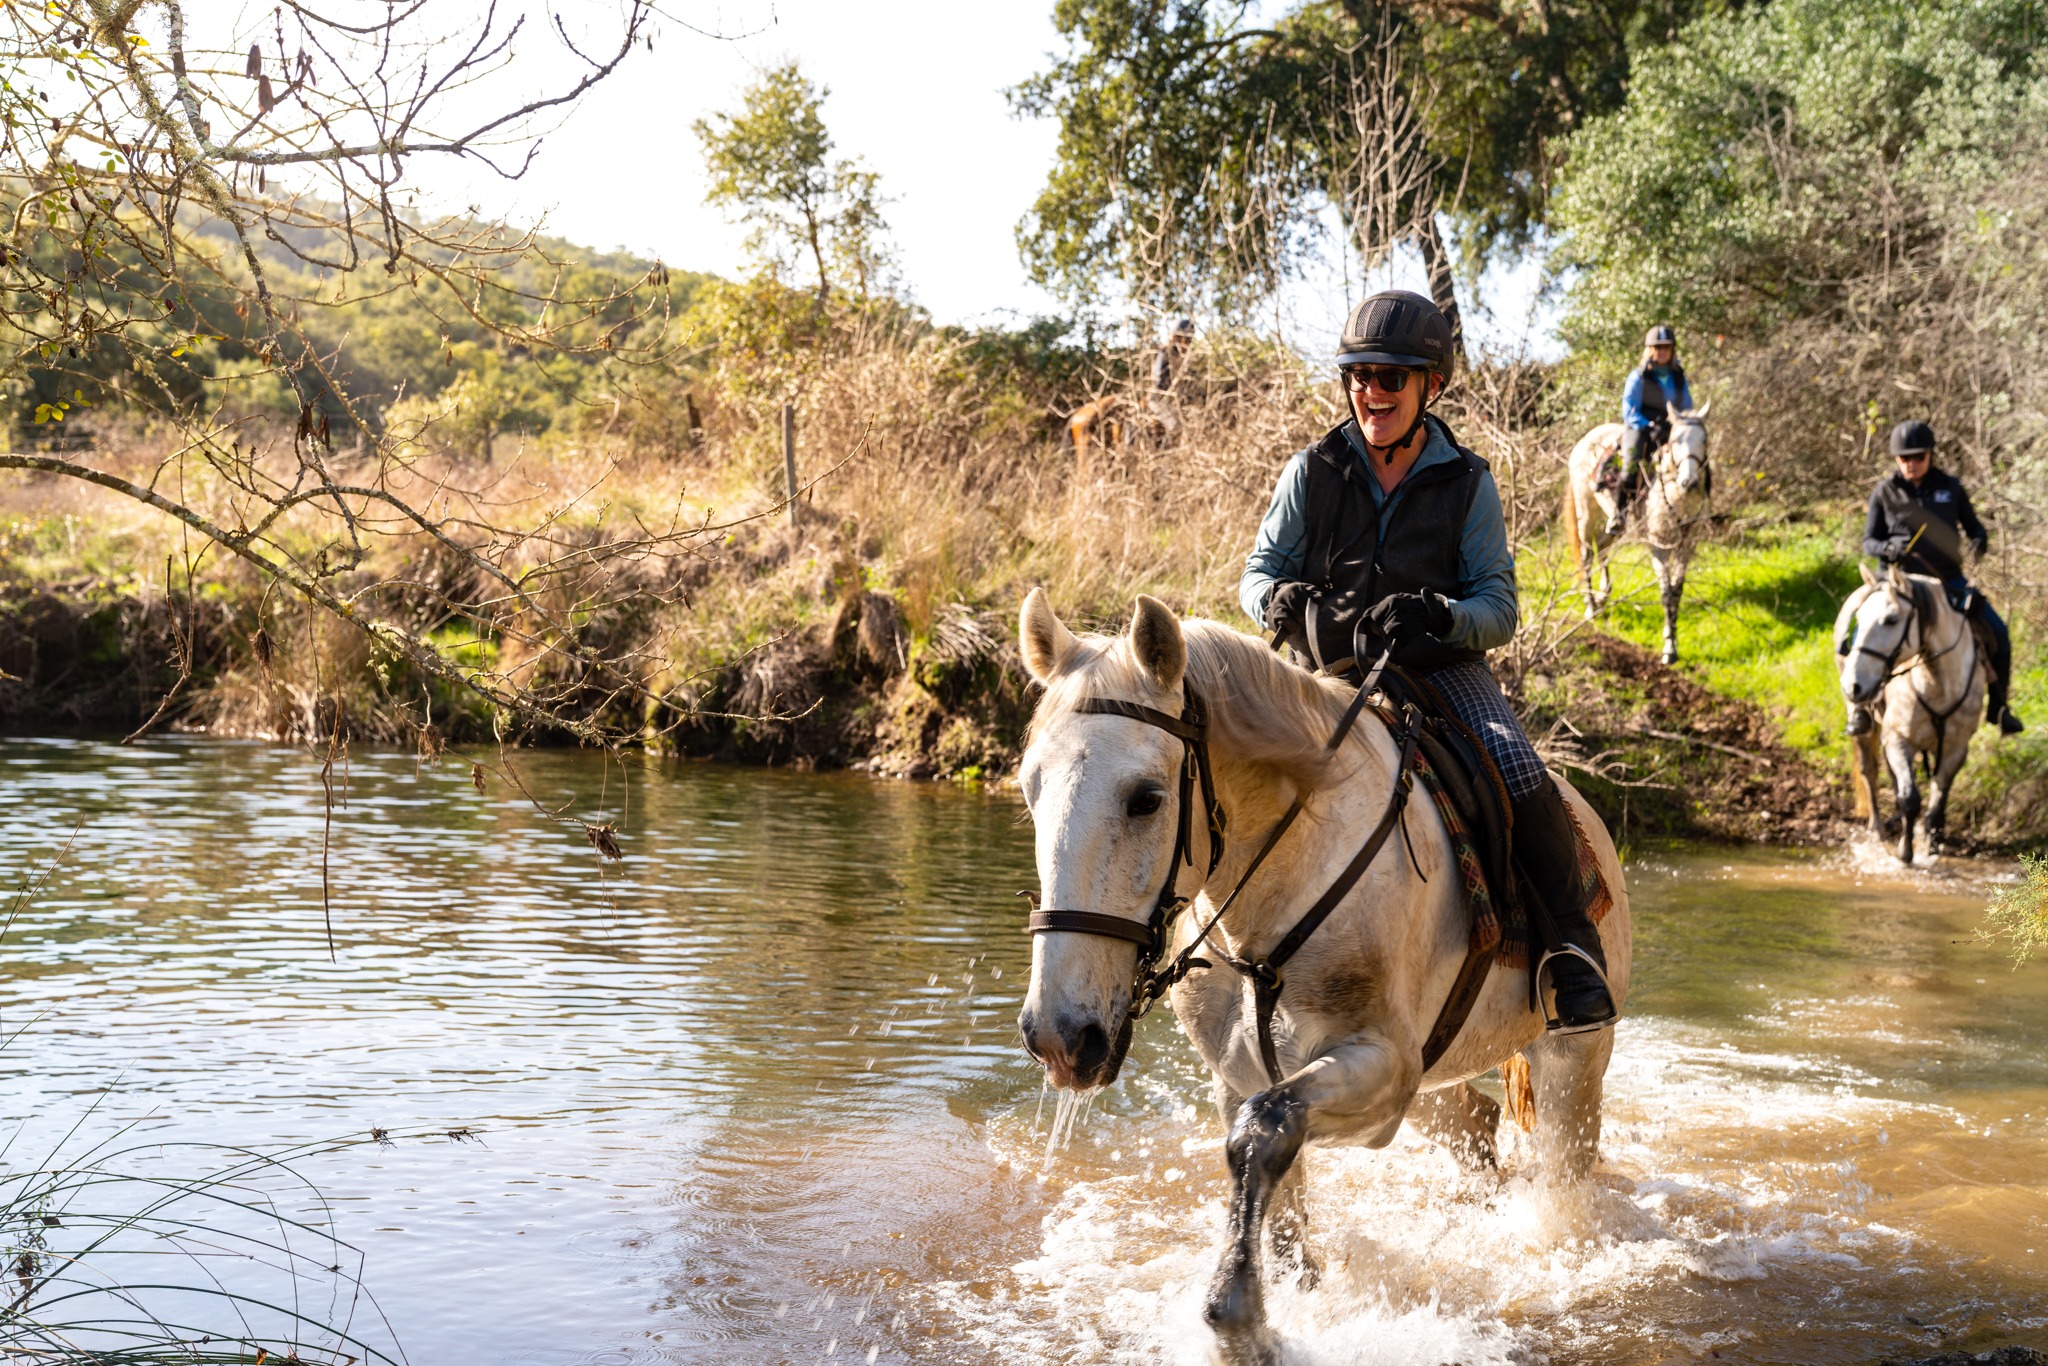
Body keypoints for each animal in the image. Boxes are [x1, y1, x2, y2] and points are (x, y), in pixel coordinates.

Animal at [1013, 590, 1633, 1366]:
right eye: (1030, 789)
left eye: (1146, 798)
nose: (1059, 1037)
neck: (1289, 873)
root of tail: (1590, 819)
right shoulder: (1248, 1073)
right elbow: (1266, 1172)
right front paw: (1284, 1294)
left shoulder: (1382, 1068)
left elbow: (1265, 1130)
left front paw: (1236, 1321)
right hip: (1437, 1084)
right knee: (1476, 1124)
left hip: (1571, 1060)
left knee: (1563, 1171)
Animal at [1563, 406, 1713, 664]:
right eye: (1676, 440)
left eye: (1703, 440)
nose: (1689, 482)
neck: (1677, 497)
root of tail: (1588, 437)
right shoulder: (1658, 546)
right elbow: (1666, 592)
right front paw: (1668, 647)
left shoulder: (1687, 546)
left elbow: (1677, 591)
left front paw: (1673, 641)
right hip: (1586, 512)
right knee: (1586, 554)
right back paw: (1590, 605)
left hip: (1615, 524)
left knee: (1602, 546)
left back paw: (1602, 596)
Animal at [1836, 564, 1986, 864]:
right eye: (1859, 619)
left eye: (1892, 619)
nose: (1852, 685)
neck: (1937, 682)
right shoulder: (1899, 741)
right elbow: (1910, 799)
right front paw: (1905, 852)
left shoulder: (1955, 748)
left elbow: (1938, 800)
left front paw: (1931, 845)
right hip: (1867, 728)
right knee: (1870, 772)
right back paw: (1877, 829)